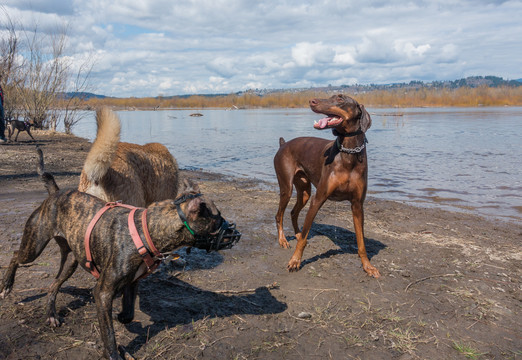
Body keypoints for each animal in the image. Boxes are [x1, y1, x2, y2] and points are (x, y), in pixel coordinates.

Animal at [272, 94, 378, 278]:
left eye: (340, 98)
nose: (312, 101)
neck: (348, 154)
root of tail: (283, 144)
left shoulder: (357, 205)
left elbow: (361, 242)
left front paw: (367, 266)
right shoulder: (318, 198)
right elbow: (304, 239)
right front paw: (295, 261)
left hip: (305, 191)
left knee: (293, 212)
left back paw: (296, 233)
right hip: (287, 188)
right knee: (279, 215)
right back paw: (283, 240)